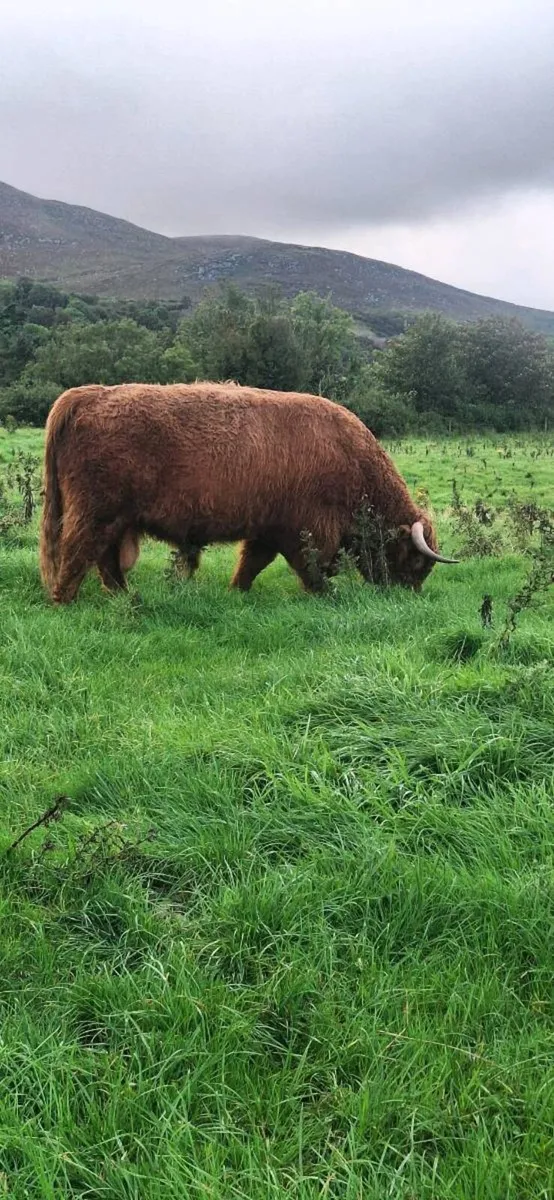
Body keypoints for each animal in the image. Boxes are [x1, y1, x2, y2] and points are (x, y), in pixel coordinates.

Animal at [39, 382, 457, 605]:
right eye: (416, 561)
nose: (408, 594)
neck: (352, 460)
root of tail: (89, 394)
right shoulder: (309, 531)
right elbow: (312, 569)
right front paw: (326, 595)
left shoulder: (268, 529)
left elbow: (251, 564)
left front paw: (236, 592)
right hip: (96, 512)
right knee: (78, 551)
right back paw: (64, 600)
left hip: (115, 519)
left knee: (105, 560)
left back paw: (124, 596)